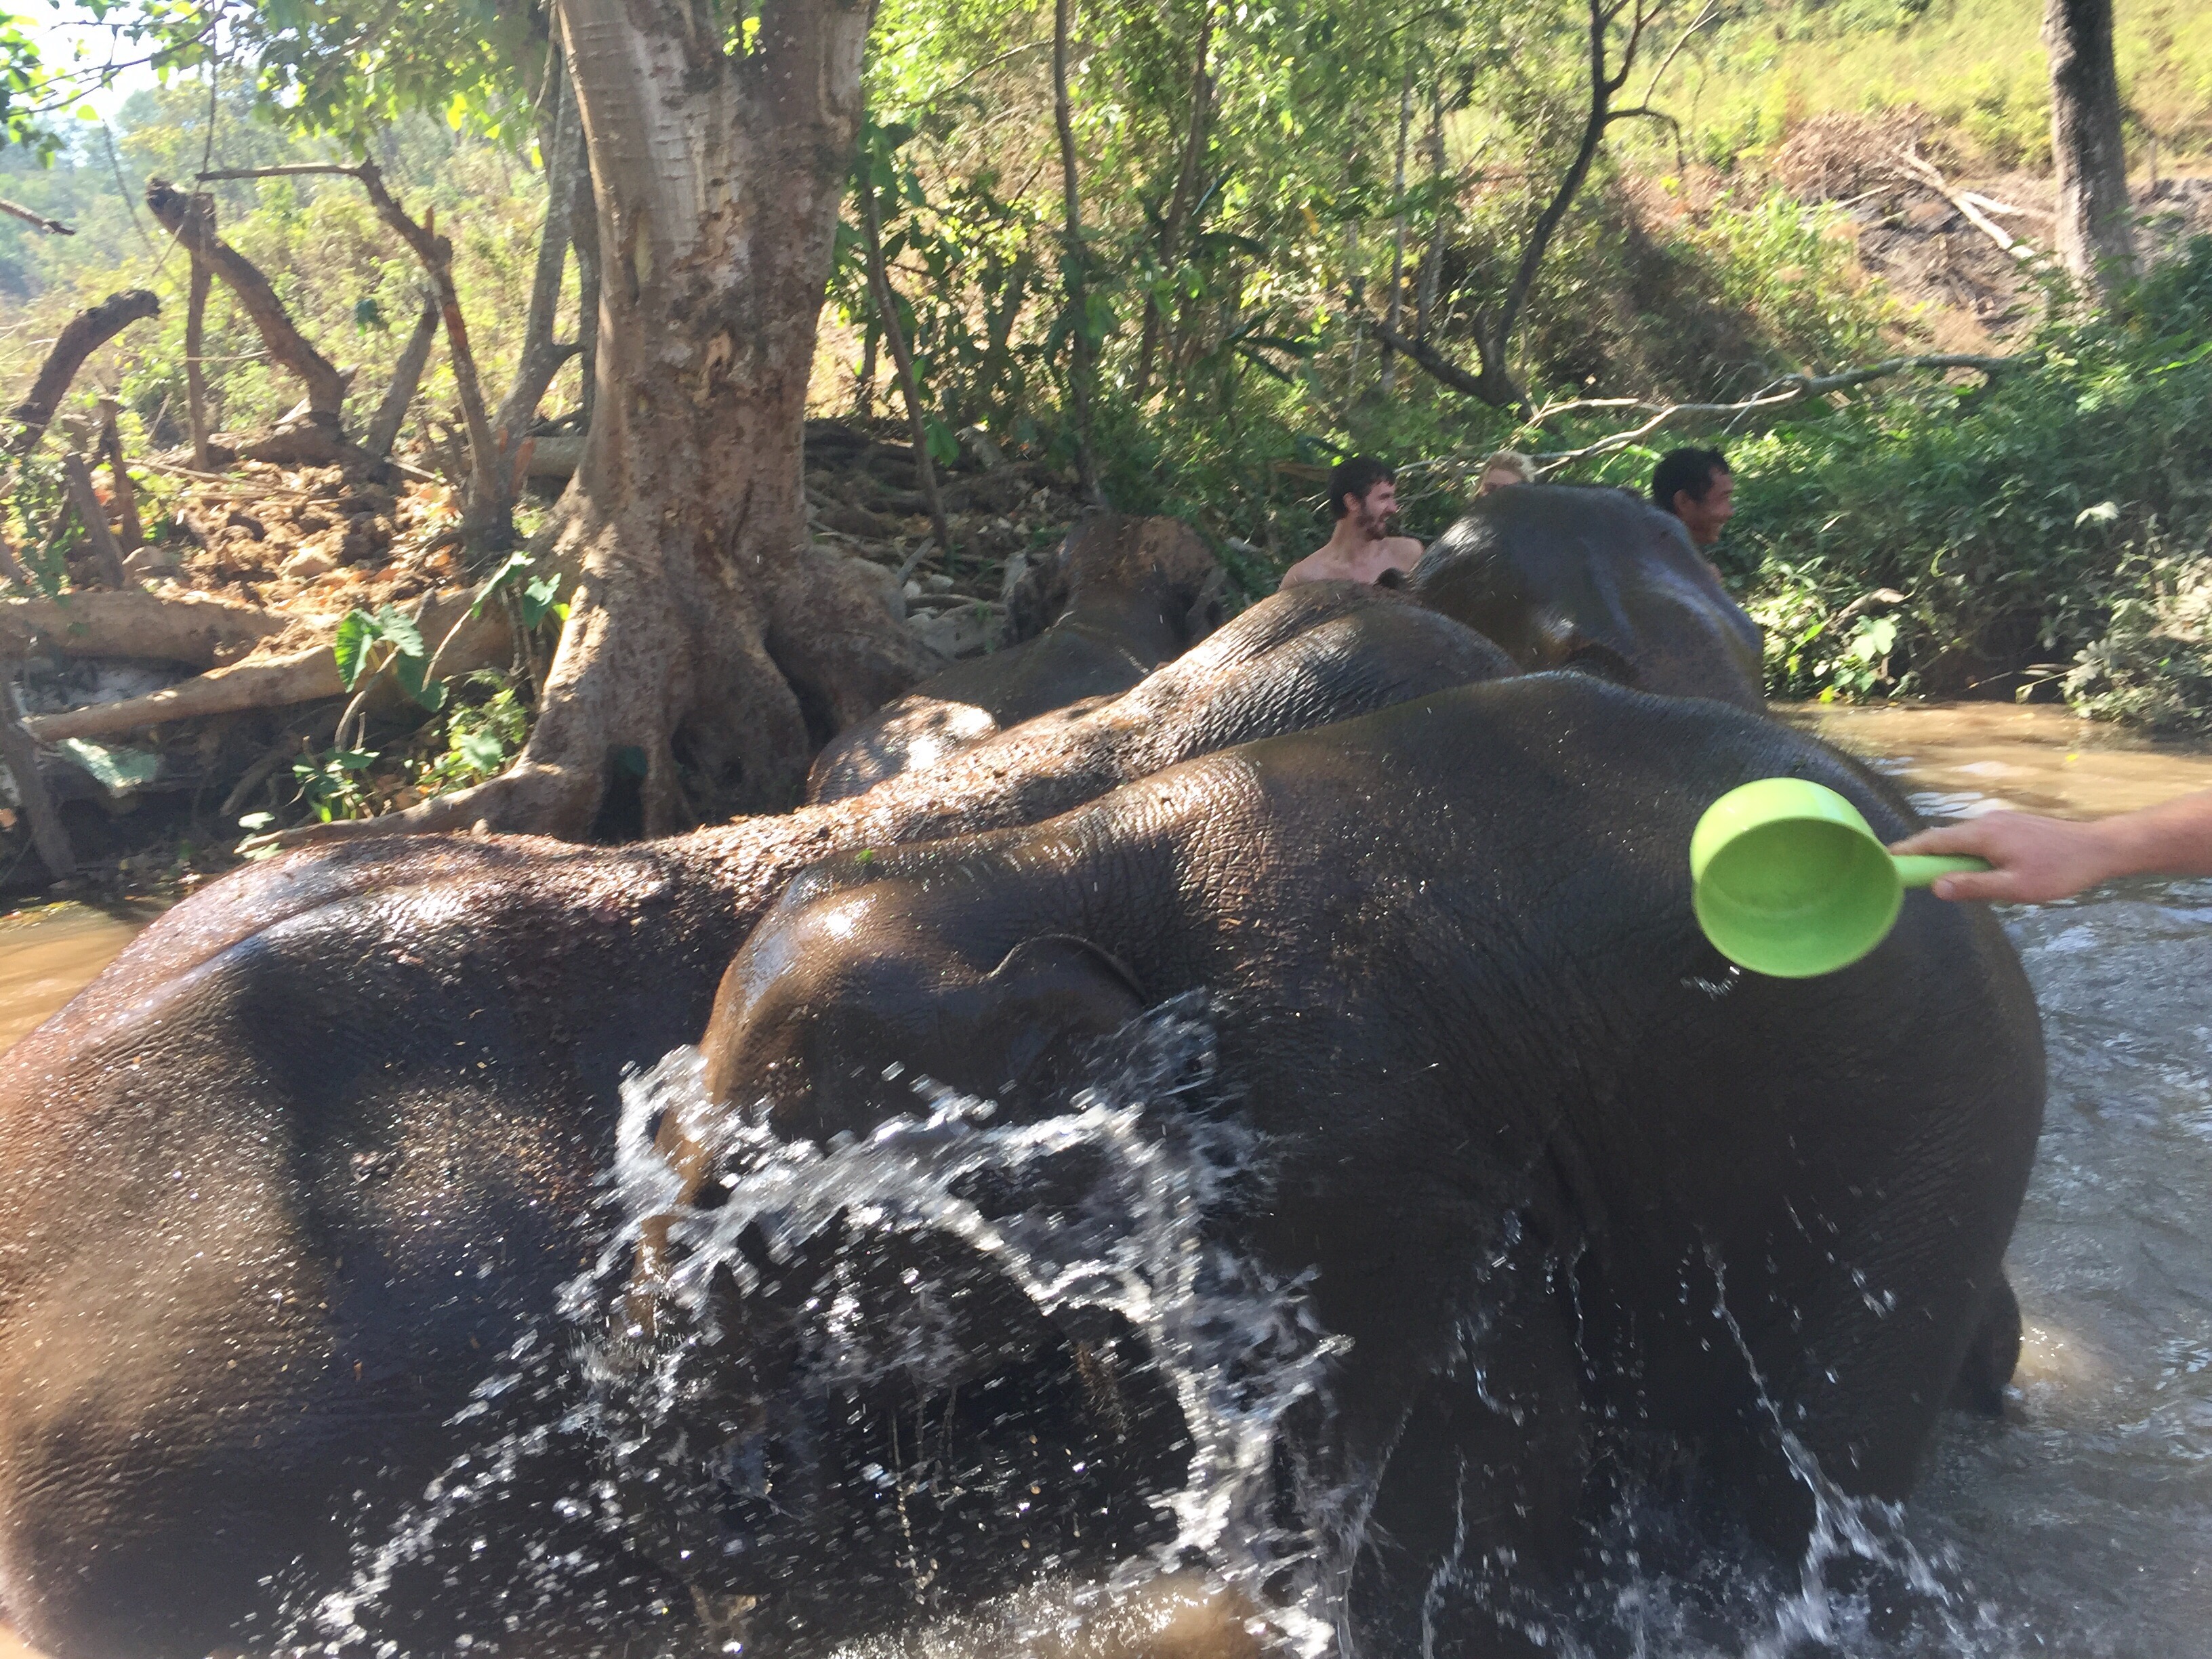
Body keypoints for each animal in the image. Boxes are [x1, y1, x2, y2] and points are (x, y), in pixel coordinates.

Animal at [678, 672, 2043, 1657]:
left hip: (1915, 1122)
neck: (1042, 858)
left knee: (1810, 1454)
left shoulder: (1353, 1124)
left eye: (768, 1189)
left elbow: (1451, 1427)